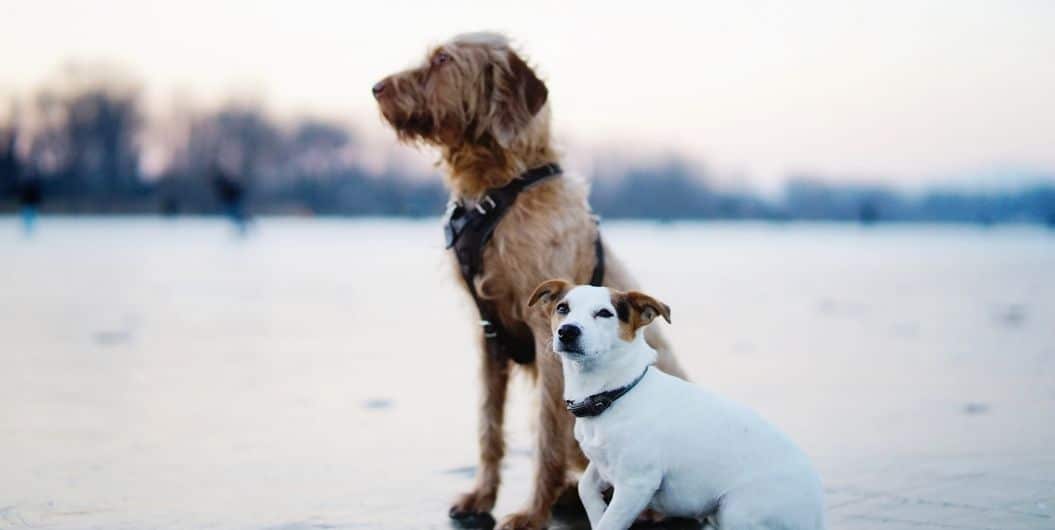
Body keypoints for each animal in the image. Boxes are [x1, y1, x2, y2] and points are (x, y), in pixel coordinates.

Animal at [375, 33, 687, 530]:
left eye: (443, 59)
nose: (376, 88)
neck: (499, 187)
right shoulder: (489, 337)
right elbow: (489, 427)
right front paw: (482, 497)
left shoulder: (548, 339)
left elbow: (547, 436)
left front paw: (531, 512)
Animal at [527, 278, 822, 527]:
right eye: (563, 308)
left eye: (604, 313)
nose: (567, 331)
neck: (616, 394)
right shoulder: (602, 464)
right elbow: (585, 486)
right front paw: (597, 509)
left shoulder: (636, 484)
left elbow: (610, 522)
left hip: (736, 510)